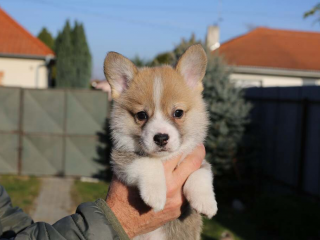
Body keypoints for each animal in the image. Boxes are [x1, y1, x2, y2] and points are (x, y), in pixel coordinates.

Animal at [104, 45, 218, 240]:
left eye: (178, 112)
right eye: (141, 115)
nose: (161, 138)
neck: (165, 158)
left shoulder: (196, 157)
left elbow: (202, 171)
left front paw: (206, 202)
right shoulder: (120, 157)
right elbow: (147, 162)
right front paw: (155, 194)